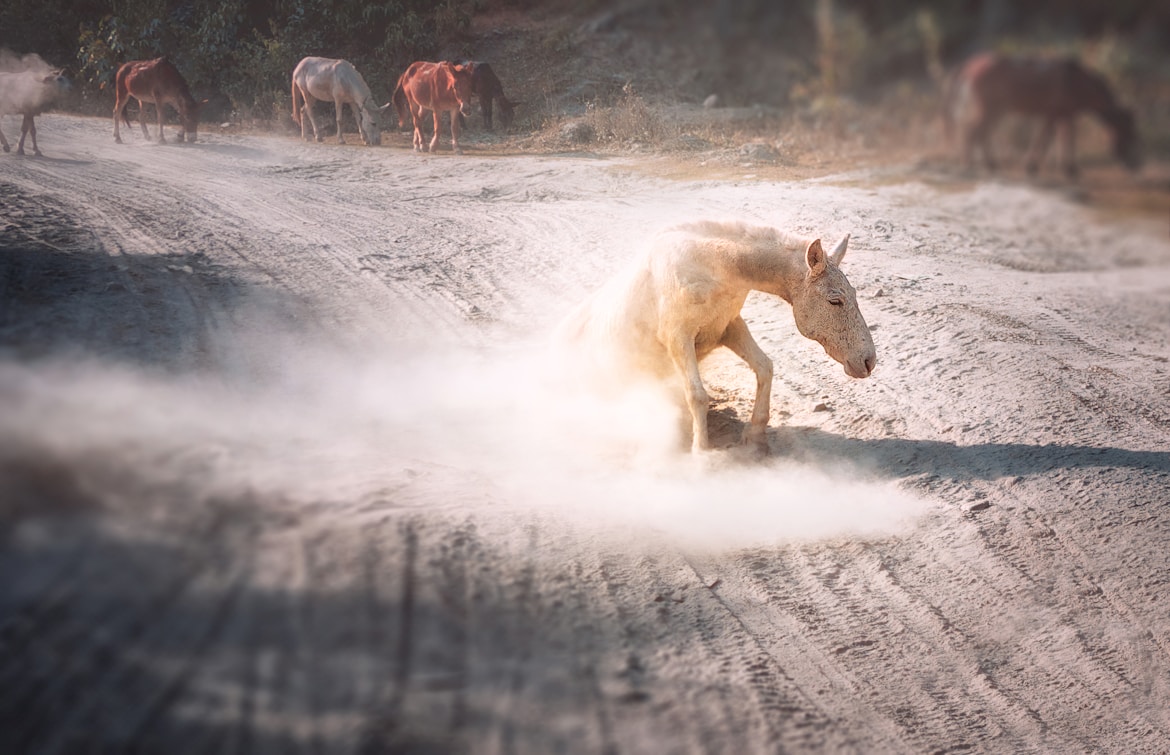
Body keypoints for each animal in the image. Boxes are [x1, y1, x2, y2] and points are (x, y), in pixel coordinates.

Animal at [556, 221, 879, 449]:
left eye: (853, 294)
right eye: (835, 301)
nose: (868, 361)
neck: (708, 267)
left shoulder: (729, 327)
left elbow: (764, 367)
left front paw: (755, 437)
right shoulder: (678, 339)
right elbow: (698, 396)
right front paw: (702, 454)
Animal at [940, 51, 1141, 177]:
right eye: (1128, 133)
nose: (1134, 165)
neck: (1077, 82)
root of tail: (970, 65)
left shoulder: (1057, 115)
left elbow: (1050, 138)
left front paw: (1041, 166)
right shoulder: (1061, 115)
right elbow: (1057, 139)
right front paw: (1067, 169)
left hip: (996, 111)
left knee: (980, 133)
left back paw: (989, 163)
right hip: (990, 109)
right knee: (973, 131)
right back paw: (972, 163)